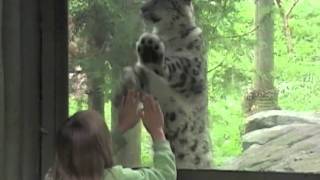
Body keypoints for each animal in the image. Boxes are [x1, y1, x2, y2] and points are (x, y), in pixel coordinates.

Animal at [114, 0, 214, 169]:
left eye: (158, 1)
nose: (142, 8)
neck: (167, 37)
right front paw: (128, 79)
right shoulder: (148, 83)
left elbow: (176, 64)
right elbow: (140, 76)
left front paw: (149, 49)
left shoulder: (193, 68)